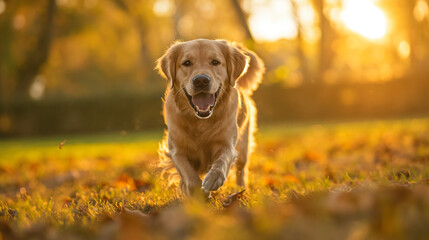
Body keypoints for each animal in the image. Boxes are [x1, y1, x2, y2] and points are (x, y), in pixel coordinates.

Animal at [157, 38, 264, 195]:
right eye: (187, 63)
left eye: (215, 62)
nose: (201, 80)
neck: (200, 121)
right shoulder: (176, 150)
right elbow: (189, 176)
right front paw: (197, 193)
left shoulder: (227, 144)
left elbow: (221, 161)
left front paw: (213, 178)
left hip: (243, 147)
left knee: (241, 170)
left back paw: (241, 189)